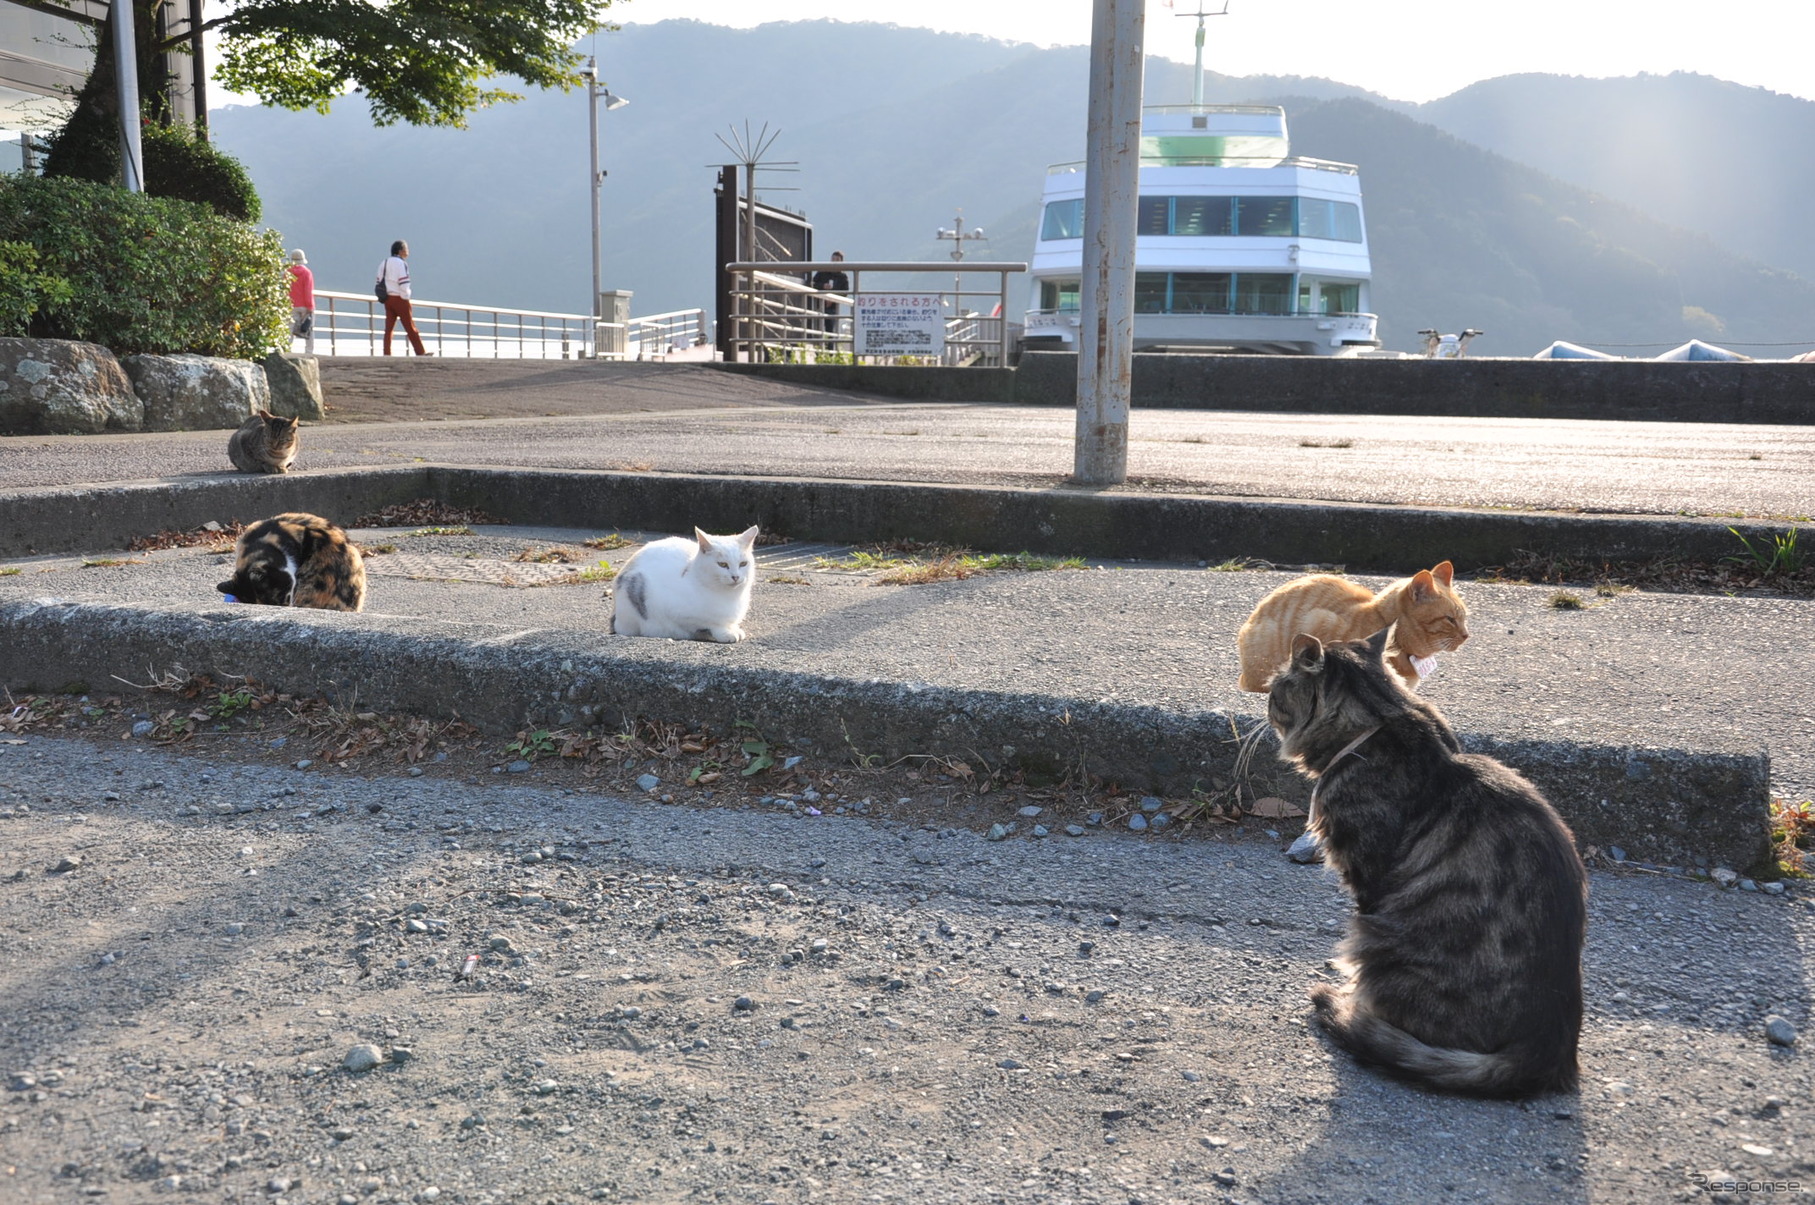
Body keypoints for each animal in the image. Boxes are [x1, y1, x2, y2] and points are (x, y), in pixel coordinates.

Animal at [606, 526, 755, 646]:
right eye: (722, 564)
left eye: (743, 564)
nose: (735, 576)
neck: (729, 597)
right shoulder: (677, 613)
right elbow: (711, 624)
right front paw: (725, 633)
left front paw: (734, 629)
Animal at [1270, 624, 1582, 1096]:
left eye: (1275, 688)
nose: (1264, 702)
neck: (1382, 722)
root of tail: (1548, 1048)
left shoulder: (1368, 877)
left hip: (1379, 938)